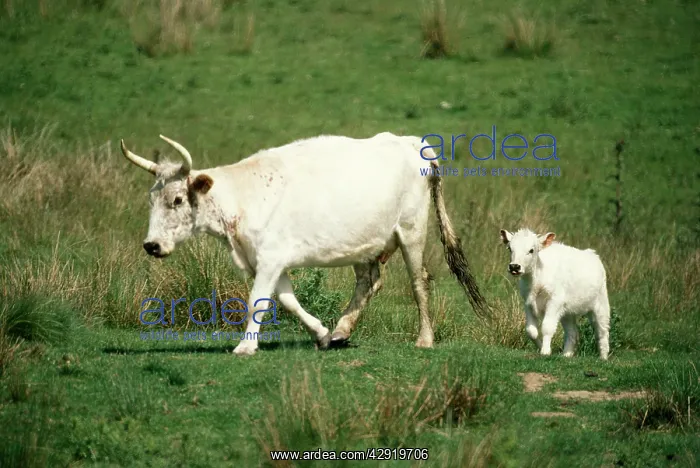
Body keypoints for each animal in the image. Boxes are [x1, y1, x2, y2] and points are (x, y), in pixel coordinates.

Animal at [120, 132, 489, 355]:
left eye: (178, 199)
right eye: (151, 199)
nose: (151, 245)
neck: (241, 198)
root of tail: (410, 143)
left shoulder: (270, 258)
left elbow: (257, 301)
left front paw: (245, 346)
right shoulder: (268, 261)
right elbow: (288, 301)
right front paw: (322, 333)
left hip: (412, 231)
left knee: (418, 281)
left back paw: (425, 338)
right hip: (365, 244)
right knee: (369, 282)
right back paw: (341, 330)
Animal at [499, 228, 610, 360]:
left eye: (531, 250)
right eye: (510, 248)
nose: (514, 267)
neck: (536, 280)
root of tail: (592, 253)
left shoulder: (554, 301)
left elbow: (547, 327)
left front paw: (545, 351)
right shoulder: (528, 302)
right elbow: (531, 331)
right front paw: (540, 346)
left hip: (601, 303)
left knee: (602, 331)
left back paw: (603, 357)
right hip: (567, 312)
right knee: (572, 332)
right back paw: (566, 354)